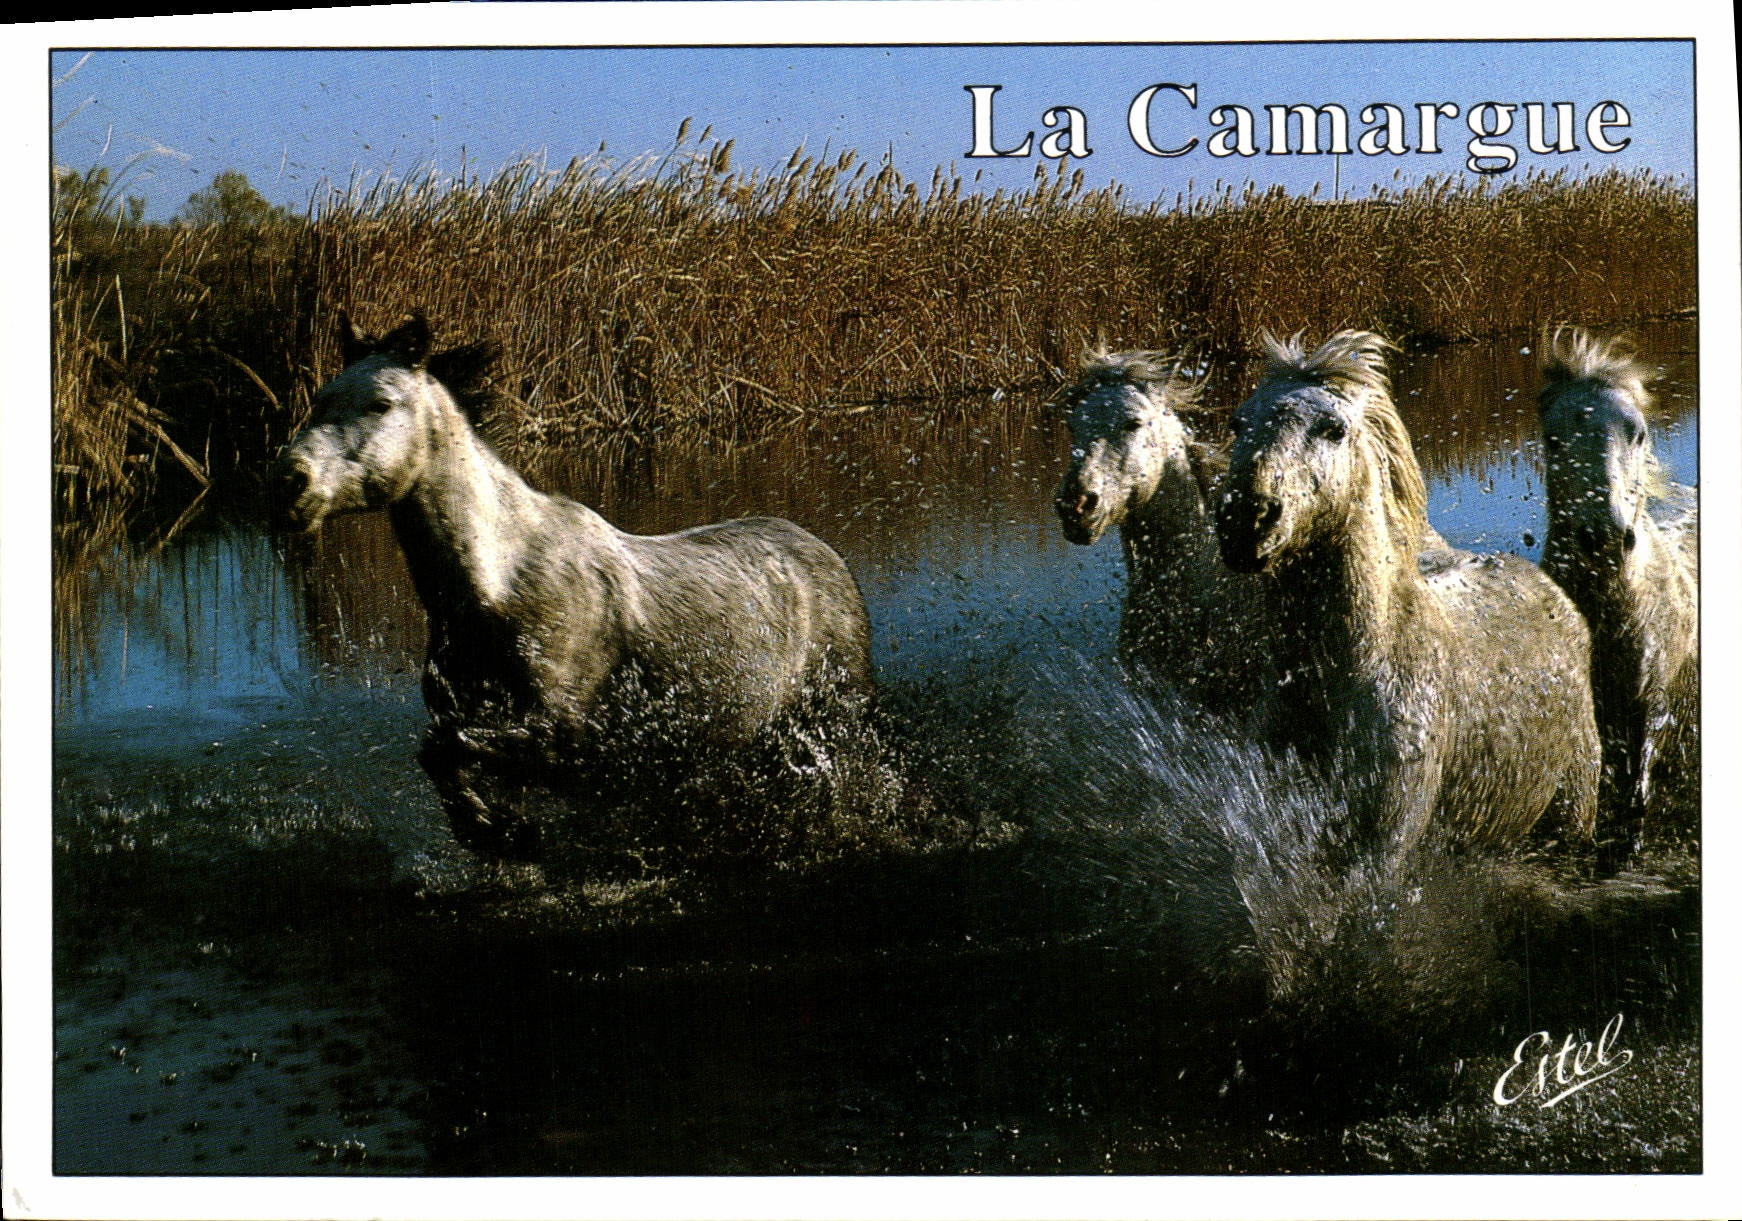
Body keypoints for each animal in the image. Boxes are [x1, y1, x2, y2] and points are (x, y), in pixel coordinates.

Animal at [276, 311, 874, 860]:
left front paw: (503, 832)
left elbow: (445, 747)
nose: (289, 481)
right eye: (319, 400)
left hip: (831, 721)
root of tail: (826, 556)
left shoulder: (563, 736)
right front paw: (497, 831)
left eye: (380, 403)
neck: (495, 588)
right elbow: (441, 754)